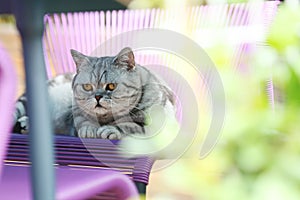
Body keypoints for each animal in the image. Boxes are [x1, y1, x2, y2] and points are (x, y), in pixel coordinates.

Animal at [12, 47, 175, 140]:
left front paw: (111, 128)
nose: (97, 97)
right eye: (87, 86)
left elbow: (133, 126)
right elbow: (84, 120)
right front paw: (89, 129)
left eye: (111, 86)